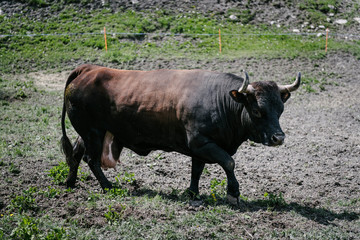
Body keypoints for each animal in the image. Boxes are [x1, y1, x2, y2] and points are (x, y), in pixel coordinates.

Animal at [59, 63, 300, 204]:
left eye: (280, 109)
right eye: (257, 111)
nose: (278, 138)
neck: (220, 100)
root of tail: (89, 69)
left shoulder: (201, 146)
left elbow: (197, 169)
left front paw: (193, 192)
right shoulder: (201, 142)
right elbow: (228, 162)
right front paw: (233, 193)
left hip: (88, 132)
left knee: (76, 153)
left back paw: (71, 182)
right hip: (93, 132)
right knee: (91, 158)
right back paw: (108, 186)